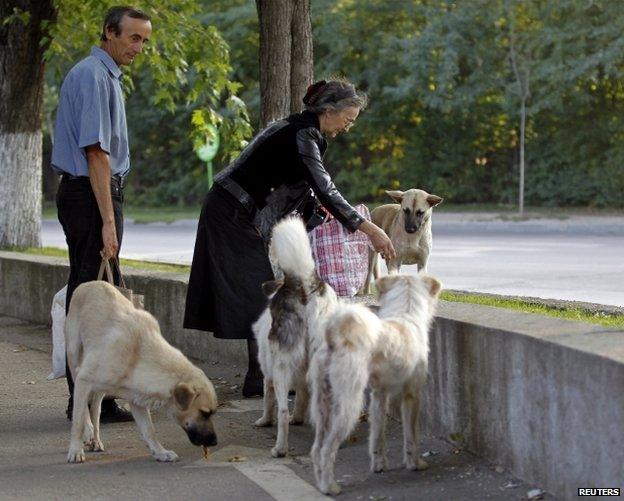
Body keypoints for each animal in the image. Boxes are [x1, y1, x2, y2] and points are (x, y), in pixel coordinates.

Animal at [64, 280, 218, 462]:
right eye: (204, 413)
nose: (215, 441)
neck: (139, 355)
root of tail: (90, 283)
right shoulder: (84, 379)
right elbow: (78, 421)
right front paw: (75, 449)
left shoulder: (136, 397)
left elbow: (149, 430)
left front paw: (160, 452)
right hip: (75, 363)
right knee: (83, 410)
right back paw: (88, 433)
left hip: (101, 387)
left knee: (95, 408)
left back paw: (96, 439)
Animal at [252, 216, 336, 458]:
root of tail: (304, 284)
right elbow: (301, 397)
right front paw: (298, 418)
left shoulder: (268, 372)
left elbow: (267, 398)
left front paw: (264, 421)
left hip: (282, 366)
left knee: (281, 410)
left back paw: (279, 449)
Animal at [310, 272, 442, 494]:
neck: (406, 314)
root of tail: (333, 337)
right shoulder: (411, 396)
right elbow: (412, 435)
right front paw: (414, 463)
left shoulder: (379, 395)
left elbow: (377, 433)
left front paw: (379, 464)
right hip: (348, 405)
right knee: (327, 449)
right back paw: (330, 486)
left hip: (323, 406)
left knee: (317, 448)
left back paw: (320, 483)